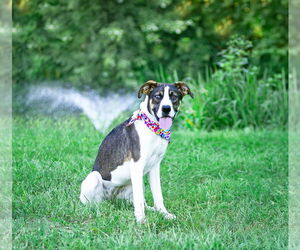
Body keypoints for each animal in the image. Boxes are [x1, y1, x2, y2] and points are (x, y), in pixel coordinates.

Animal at [79, 80, 192, 223]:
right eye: (158, 96)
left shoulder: (155, 166)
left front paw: (164, 214)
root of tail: (111, 199)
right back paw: (98, 210)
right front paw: (141, 220)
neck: (153, 128)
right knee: (92, 203)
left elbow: (158, 195)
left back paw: (150, 209)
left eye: (174, 96)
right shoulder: (137, 165)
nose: (166, 109)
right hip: (93, 178)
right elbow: (139, 199)